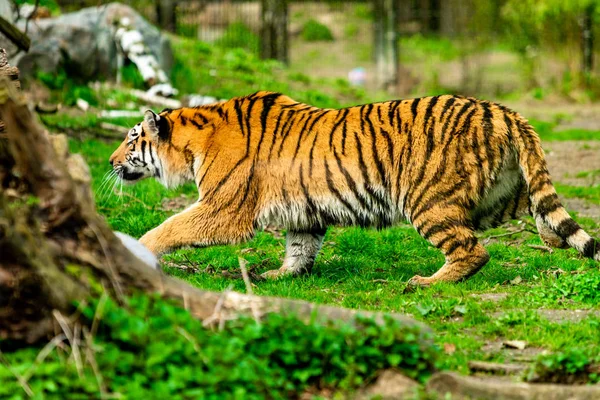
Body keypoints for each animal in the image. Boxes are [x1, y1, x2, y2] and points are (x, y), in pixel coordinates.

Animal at [109, 91, 600, 284]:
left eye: (132, 140)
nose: (111, 162)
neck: (194, 142)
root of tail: (504, 112)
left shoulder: (223, 208)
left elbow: (171, 225)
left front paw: (138, 249)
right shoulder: (303, 211)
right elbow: (300, 247)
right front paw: (282, 275)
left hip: (428, 201)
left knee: (472, 250)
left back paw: (427, 283)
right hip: (508, 191)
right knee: (548, 212)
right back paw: (553, 244)